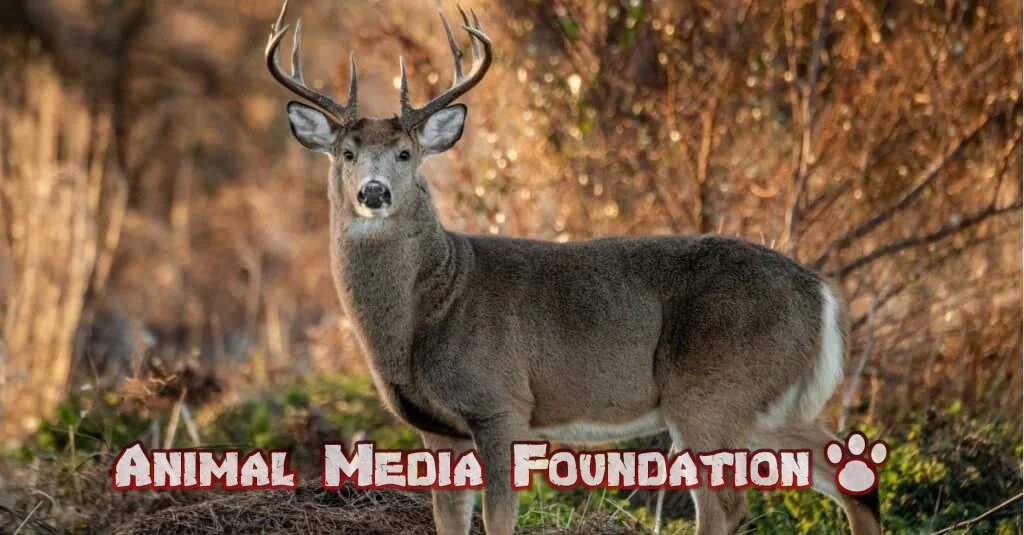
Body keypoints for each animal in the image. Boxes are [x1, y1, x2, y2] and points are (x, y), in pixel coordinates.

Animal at [265, 2, 881, 534]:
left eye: (405, 154)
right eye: (346, 153)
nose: (373, 192)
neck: (431, 306)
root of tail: (821, 292)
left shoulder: (502, 402)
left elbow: (501, 519)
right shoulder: (435, 428)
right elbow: (448, 522)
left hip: (713, 391)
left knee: (727, 506)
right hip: (764, 403)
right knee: (853, 482)